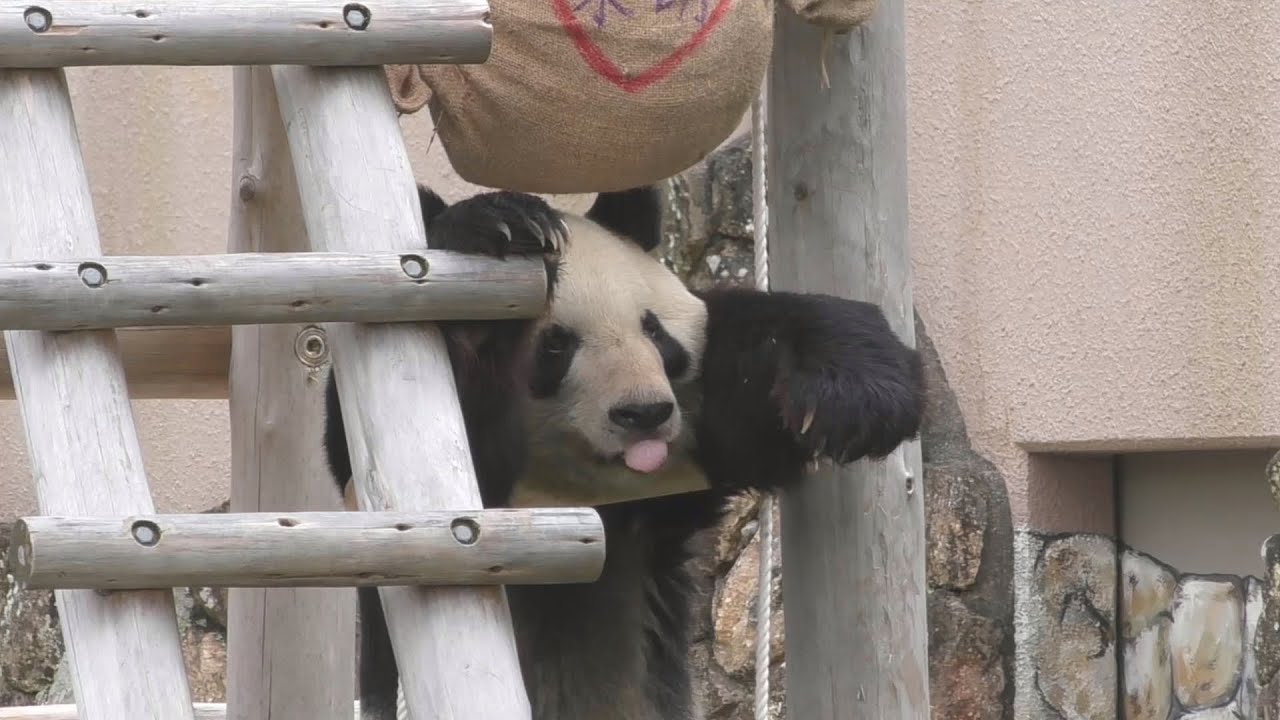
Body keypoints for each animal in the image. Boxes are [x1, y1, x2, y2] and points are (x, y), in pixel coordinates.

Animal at [322, 184, 926, 720]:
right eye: (557, 346)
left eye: (654, 331)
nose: (644, 413)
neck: (582, 483)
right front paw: (501, 235)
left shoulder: (679, 478)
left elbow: (754, 378)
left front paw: (862, 391)